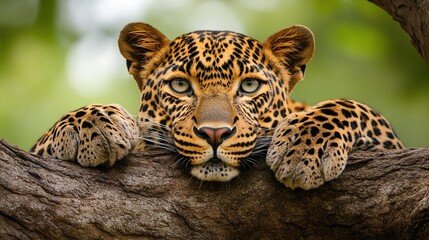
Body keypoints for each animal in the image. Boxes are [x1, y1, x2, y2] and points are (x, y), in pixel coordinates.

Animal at [29, 23, 402, 191]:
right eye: (180, 86)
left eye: (249, 86)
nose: (214, 133)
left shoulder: (391, 144)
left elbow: (351, 106)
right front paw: (87, 126)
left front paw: (304, 148)